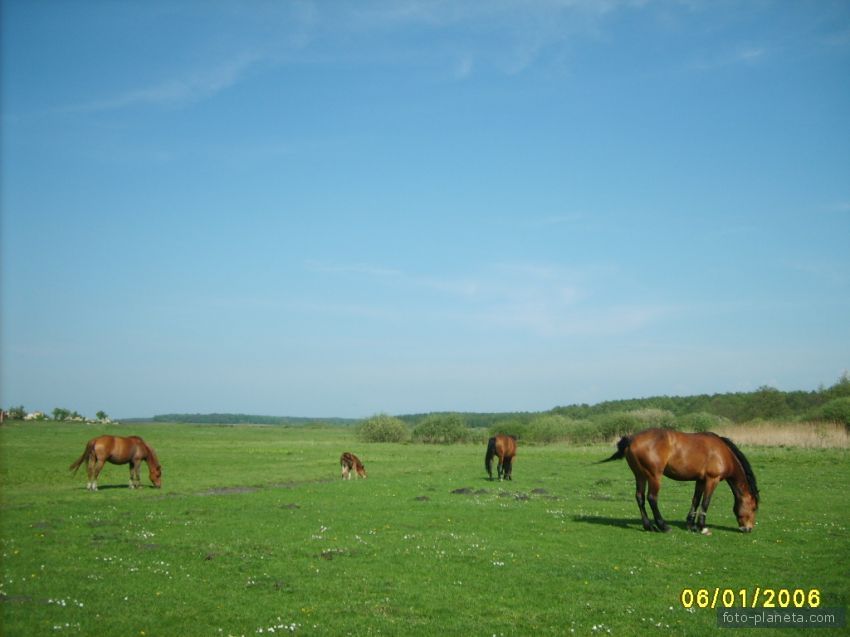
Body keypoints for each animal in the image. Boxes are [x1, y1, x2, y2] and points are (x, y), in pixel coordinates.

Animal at [600, 428, 760, 536]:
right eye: (753, 508)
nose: (748, 529)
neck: (722, 452)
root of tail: (632, 438)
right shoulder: (711, 480)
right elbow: (705, 503)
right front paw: (702, 527)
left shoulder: (700, 480)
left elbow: (695, 500)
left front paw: (691, 525)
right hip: (654, 476)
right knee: (652, 498)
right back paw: (663, 526)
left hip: (640, 475)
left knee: (640, 497)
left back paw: (648, 526)